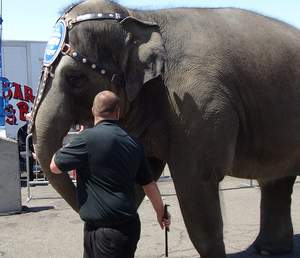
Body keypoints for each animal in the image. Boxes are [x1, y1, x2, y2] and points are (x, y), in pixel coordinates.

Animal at [29, 0, 300, 258]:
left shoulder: (198, 104)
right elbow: (143, 176)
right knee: (276, 179)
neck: (141, 17)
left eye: (75, 78)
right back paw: (268, 250)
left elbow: (197, 182)